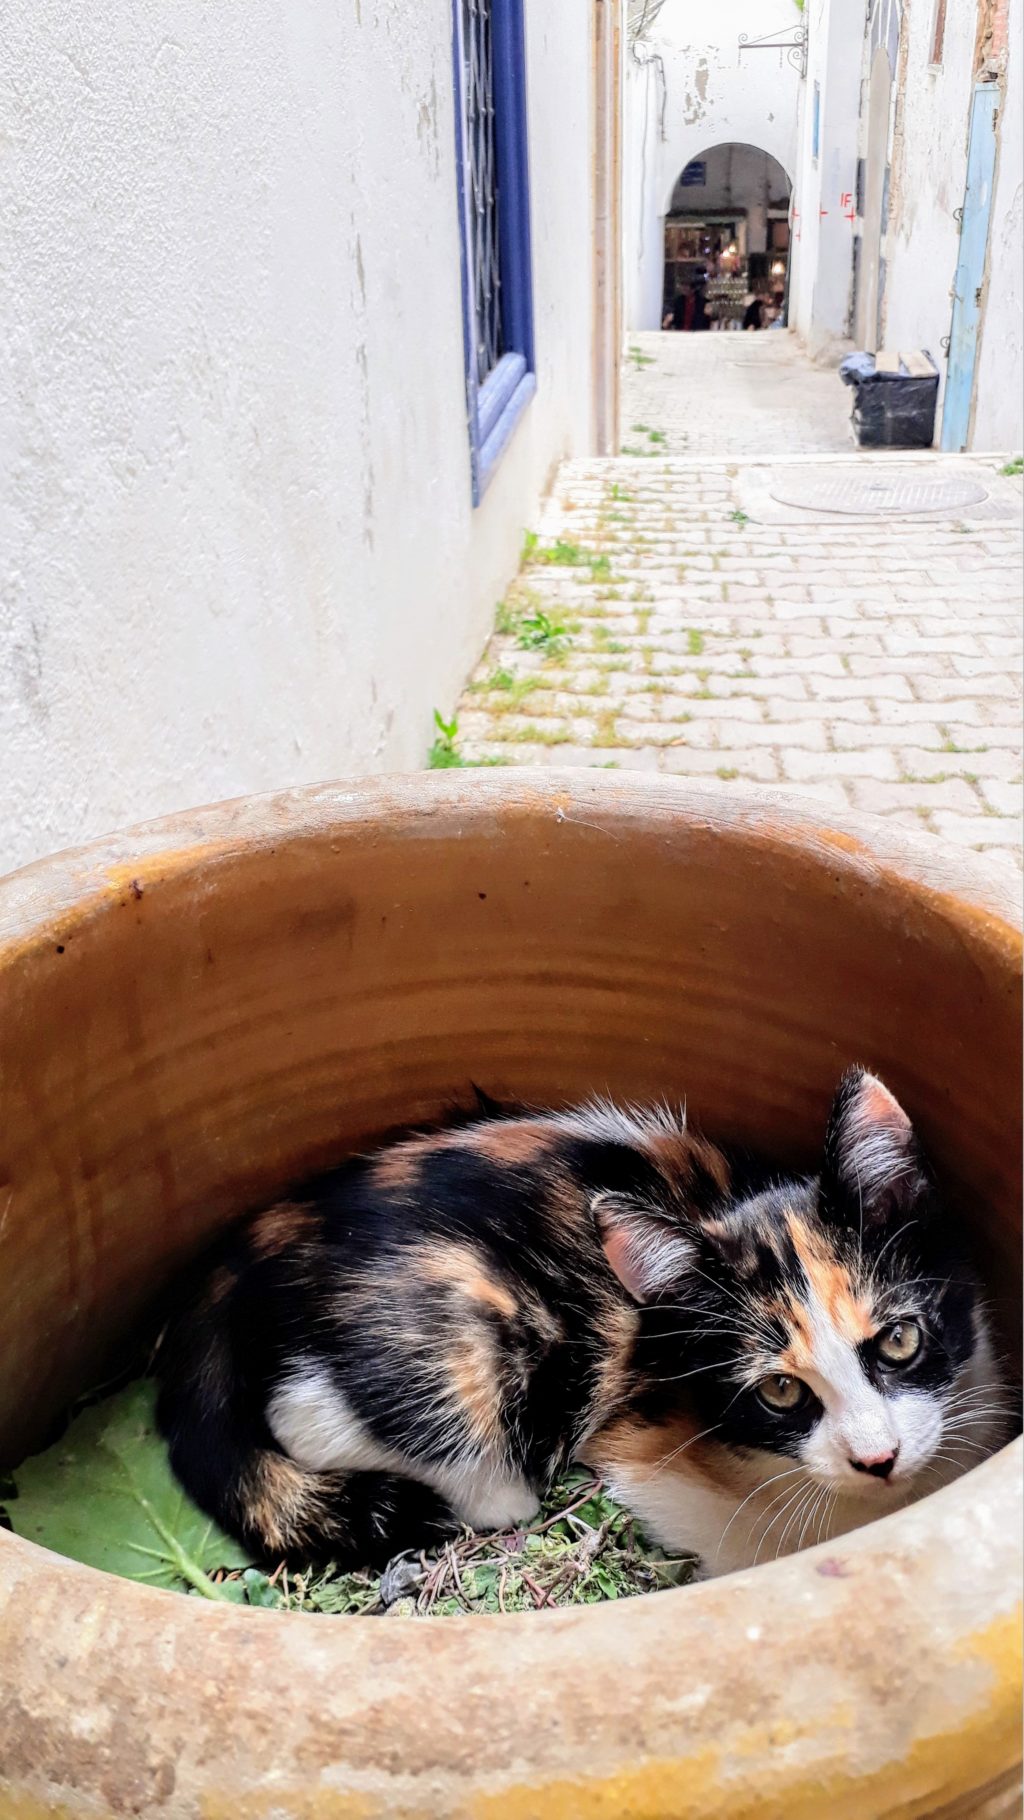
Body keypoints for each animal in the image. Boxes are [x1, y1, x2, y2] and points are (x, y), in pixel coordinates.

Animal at [156, 1062, 1011, 1579]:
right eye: (779, 1393)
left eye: (899, 1339)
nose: (878, 1458)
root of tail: (253, 1249)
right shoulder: (648, 1456)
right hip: (459, 1349)